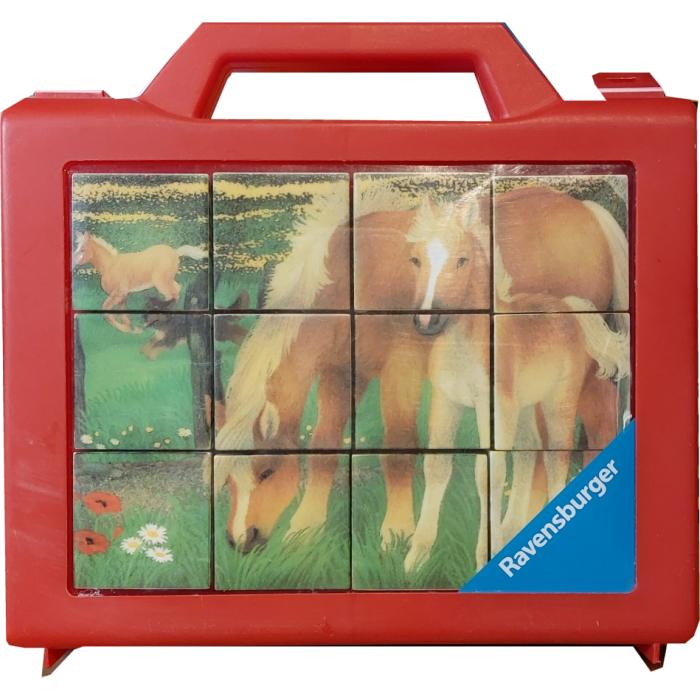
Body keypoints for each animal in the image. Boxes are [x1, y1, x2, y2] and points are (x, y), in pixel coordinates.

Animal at [73, 232, 207, 332]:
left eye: (83, 249)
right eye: (77, 248)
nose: (73, 262)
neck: (109, 265)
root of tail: (175, 252)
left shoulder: (118, 294)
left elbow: (106, 311)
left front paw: (129, 329)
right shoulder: (123, 296)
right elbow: (123, 314)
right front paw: (130, 329)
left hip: (160, 281)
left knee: (171, 294)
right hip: (168, 279)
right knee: (177, 290)